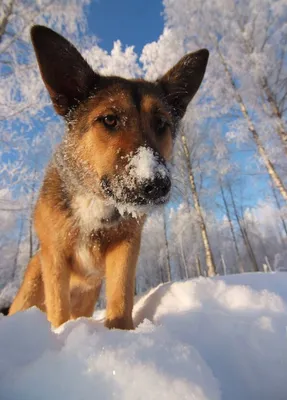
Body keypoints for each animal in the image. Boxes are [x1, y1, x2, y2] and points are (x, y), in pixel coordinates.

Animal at [7, 24, 209, 328]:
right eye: (110, 119)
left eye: (162, 124)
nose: (156, 184)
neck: (94, 201)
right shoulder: (55, 257)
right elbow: (59, 312)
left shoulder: (125, 248)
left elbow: (121, 299)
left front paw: (120, 333)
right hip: (30, 289)